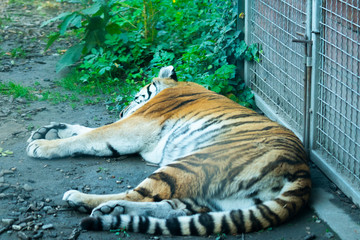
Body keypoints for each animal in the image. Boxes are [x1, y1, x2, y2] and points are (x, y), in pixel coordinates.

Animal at [26, 65, 310, 236]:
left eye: (135, 97)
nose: (121, 111)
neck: (174, 86)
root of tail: (303, 173)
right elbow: (86, 130)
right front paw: (51, 130)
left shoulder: (134, 125)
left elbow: (93, 134)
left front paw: (41, 145)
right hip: (218, 196)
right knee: (175, 208)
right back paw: (114, 212)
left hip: (191, 163)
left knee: (140, 195)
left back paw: (86, 200)